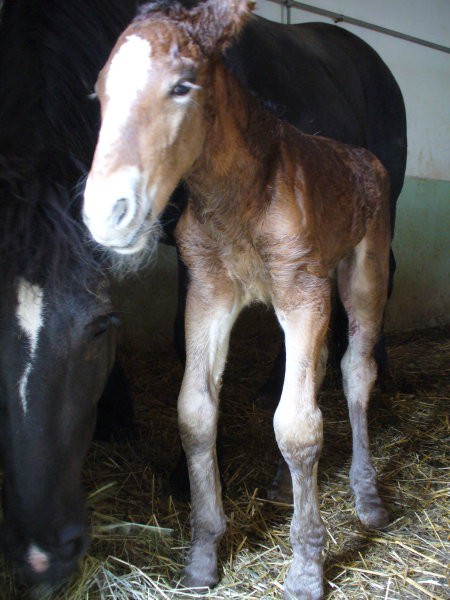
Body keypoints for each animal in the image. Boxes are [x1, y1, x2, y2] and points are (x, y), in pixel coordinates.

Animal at [83, 2, 390, 596]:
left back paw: (367, 498)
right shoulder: (209, 292)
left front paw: (306, 569)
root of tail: (365, 158)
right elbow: (196, 413)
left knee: (356, 371)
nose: (106, 214)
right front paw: (203, 556)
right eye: (101, 91)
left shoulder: (301, 291)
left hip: (362, 272)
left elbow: (296, 426)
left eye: (183, 85)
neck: (240, 196)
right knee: (320, 371)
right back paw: (283, 486)